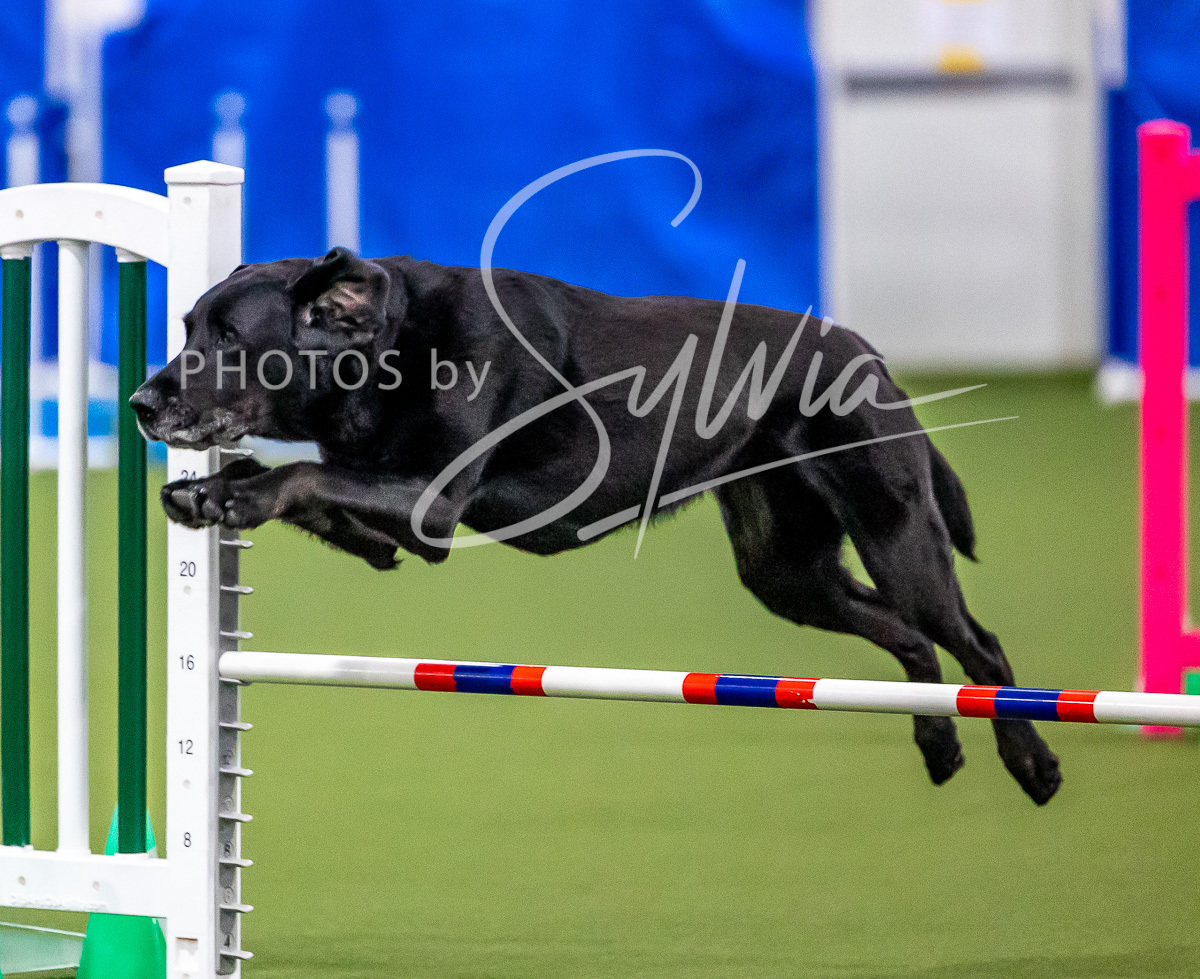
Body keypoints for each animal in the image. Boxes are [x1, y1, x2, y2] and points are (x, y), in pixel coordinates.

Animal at [132, 247, 1061, 804]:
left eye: (228, 337)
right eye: (186, 327)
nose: (142, 403)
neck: (387, 348)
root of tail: (867, 350)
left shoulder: (433, 503)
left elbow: (302, 472)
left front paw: (235, 495)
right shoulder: (395, 505)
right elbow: (308, 484)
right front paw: (209, 492)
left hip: (892, 528)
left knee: (975, 647)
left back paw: (1033, 764)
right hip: (785, 570)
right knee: (910, 639)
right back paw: (938, 745)